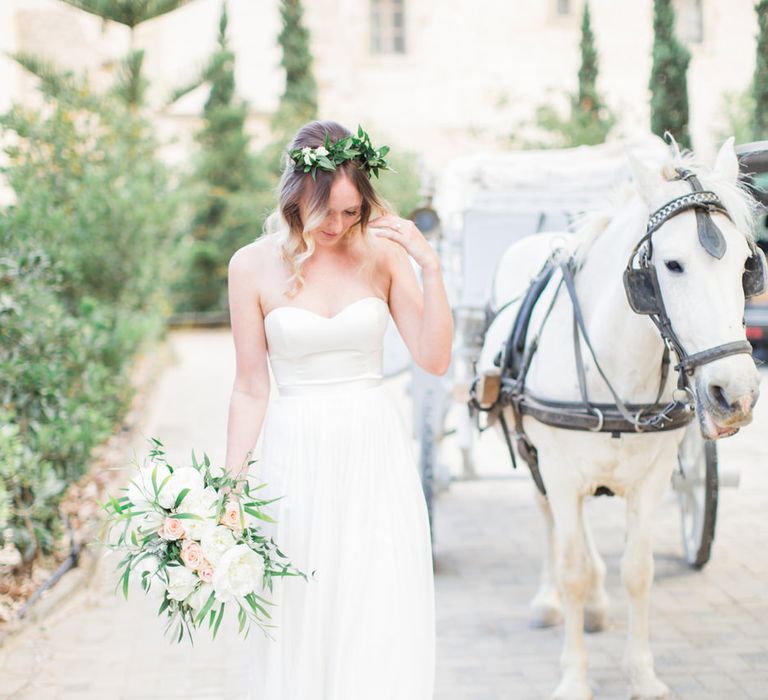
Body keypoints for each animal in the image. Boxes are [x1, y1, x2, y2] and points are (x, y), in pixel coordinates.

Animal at [480, 138, 760, 700]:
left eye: (746, 264)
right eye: (671, 264)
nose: (735, 395)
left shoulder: (651, 479)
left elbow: (638, 570)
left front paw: (642, 674)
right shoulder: (560, 471)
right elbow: (570, 568)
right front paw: (573, 676)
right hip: (530, 449)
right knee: (549, 519)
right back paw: (548, 601)